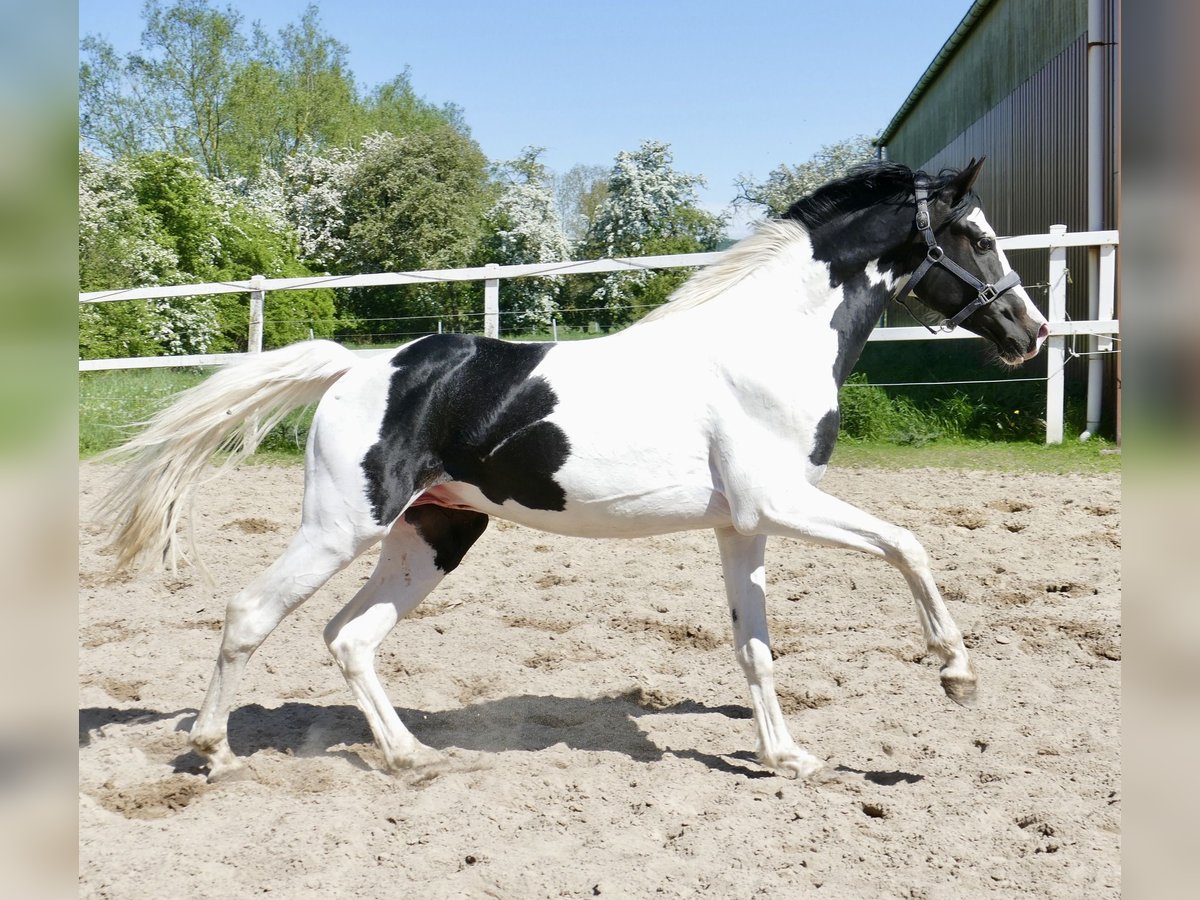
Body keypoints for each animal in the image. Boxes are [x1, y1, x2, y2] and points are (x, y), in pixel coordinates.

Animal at [98, 157, 1046, 782]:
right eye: (978, 235)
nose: (1030, 332)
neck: (763, 348)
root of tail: (359, 368)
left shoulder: (744, 526)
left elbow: (756, 647)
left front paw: (786, 756)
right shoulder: (782, 503)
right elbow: (908, 543)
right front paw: (956, 674)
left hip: (436, 534)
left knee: (350, 636)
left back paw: (411, 756)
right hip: (342, 526)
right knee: (250, 613)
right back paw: (212, 751)